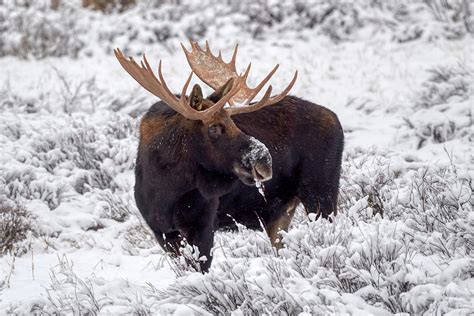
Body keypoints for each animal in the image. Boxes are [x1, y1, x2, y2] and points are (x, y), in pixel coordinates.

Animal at [115, 41, 344, 272]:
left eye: (234, 122)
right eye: (214, 127)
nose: (264, 160)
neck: (165, 187)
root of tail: (337, 120)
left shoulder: (203, 225)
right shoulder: (161, 230)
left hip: (320, 193)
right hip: (282, 213)